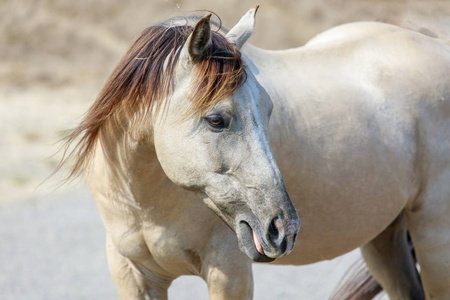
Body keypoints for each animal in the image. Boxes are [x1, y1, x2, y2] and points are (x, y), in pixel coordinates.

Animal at [62, 5, 450, 298]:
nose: (284, 229)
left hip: (434, 244)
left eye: (269, 110)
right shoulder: (133, 275)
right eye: (216, 119)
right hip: (384, 238)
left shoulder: (228, 273)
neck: (145, 204)